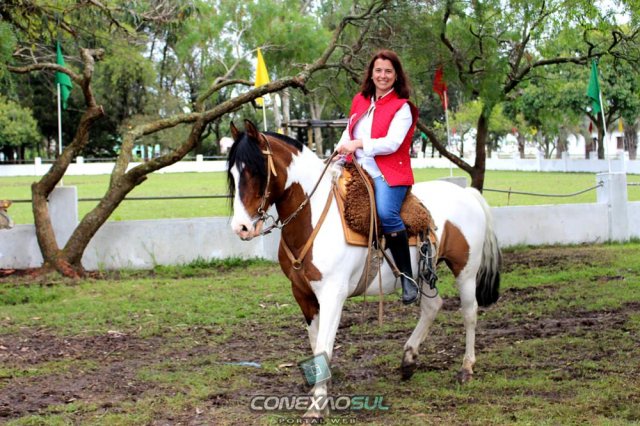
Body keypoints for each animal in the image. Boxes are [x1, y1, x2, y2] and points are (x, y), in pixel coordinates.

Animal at [227, 120, 501, 417]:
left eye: (255, 170)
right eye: (232, 174)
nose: (241, 228)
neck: (314, 218)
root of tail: (467, 193)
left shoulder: (333, 295)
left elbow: (324, 344)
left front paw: (317, 406)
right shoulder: (302, 294)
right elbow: (315, 342)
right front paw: (319, 392)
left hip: (465, 270)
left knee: (469, 312)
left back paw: (466, 368)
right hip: (423, 273)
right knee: (432, 306)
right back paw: (408, 360)